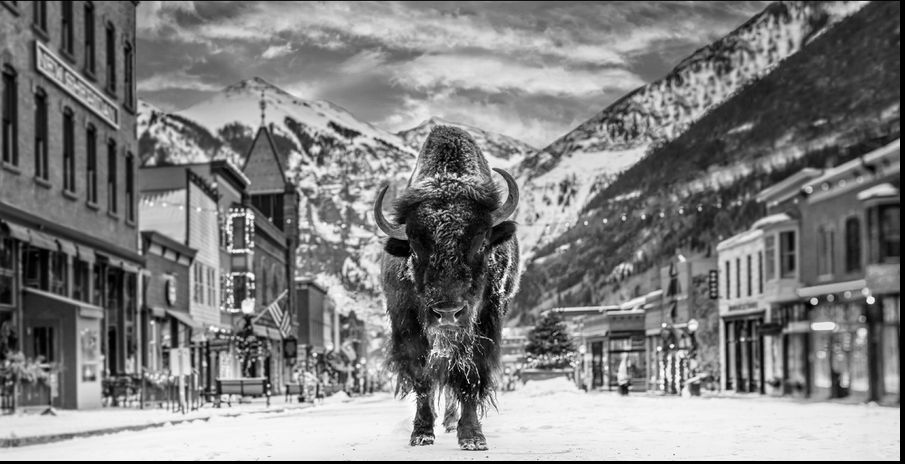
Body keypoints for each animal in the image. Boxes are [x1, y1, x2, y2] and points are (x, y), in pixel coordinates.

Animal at [374, 125, 521, 451]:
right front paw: (421, 433)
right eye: (415, 249)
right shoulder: (407, 324)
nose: (448, 313)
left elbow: (468, 377)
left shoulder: (483, 323)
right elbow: (422, 377)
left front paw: (473, 437)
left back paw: (454, 422)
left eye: (481, 243)